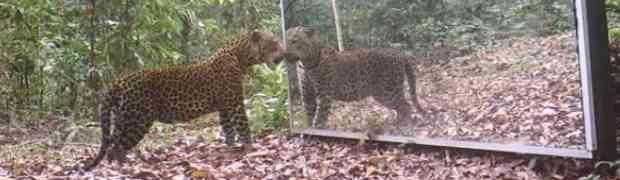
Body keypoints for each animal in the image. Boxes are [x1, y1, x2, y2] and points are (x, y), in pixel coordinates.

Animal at [81, 29, 284, 170]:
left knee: (112, 143)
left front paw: (230, 148)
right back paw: (126, 167)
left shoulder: (225, 107)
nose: (282, 56)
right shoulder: (235, 103)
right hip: (137, 120)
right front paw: (251, 149)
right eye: (274, 42)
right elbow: (243, 126)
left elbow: (229, 130)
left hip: (123, 118)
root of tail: (118, 81)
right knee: (117, 146)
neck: (240, 55)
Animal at [284, 26, 424, 129]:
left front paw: (316, 130)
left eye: (295, 40)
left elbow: (320, 117)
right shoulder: (307, 95)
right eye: (285, 40)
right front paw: (309, 129)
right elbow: (310, 114)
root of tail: (400, 54)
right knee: (402, 106)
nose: (285, 52)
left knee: (406, 105)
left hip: (388, 91)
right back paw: (396, 123)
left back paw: (402, 125)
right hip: (383, 94)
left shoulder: (324, 95)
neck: (306, 63)